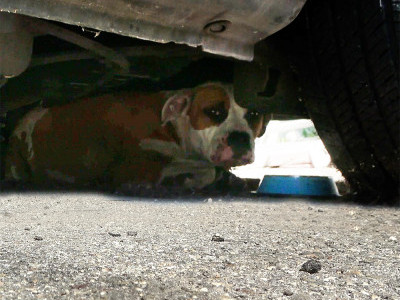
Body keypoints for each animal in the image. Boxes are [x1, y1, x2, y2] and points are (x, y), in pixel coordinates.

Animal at [4, 82, 268, 190]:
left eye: (254, 114)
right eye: (213, 111)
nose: (239, 138)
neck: (172, 128)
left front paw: (232, 179)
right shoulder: (135, 168)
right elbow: (204, 169)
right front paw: (189, 179)